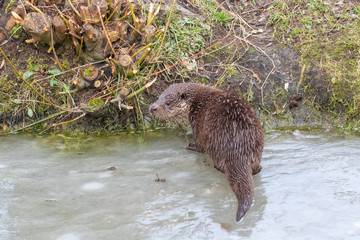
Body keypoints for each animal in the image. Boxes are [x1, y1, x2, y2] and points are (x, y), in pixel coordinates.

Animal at [149, 82, 264, 221]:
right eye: (158, 98)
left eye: (168, 102)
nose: (152, 108)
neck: (195, 102)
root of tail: (239, 146)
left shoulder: (195, 119)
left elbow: (199, 146)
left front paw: (190, 144)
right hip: (258, 140)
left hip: (213, 139)